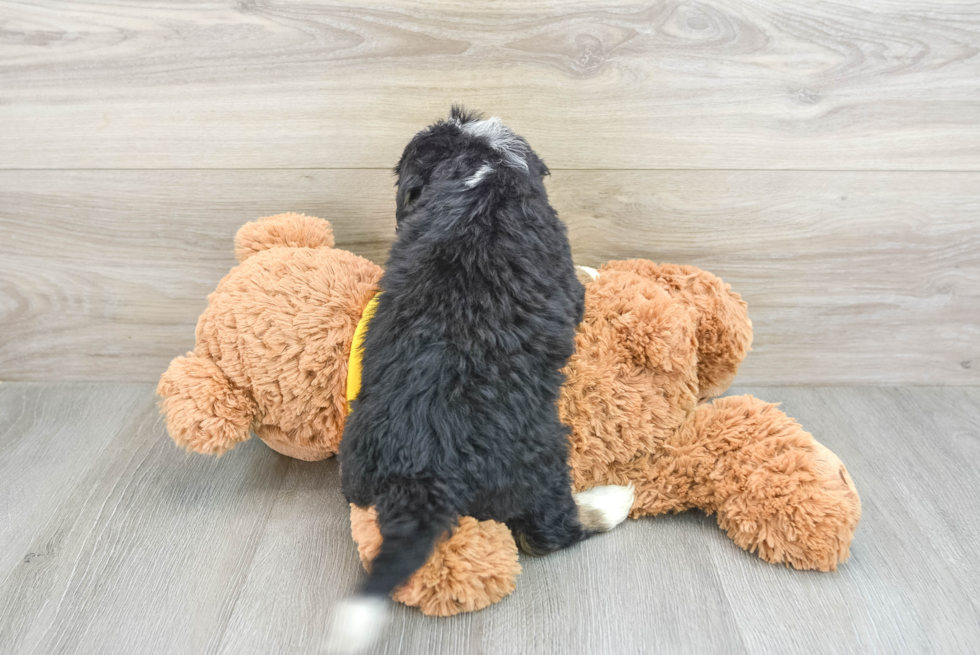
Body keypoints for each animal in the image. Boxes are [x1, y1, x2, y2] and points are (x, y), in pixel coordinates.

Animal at [328, 107, 636, 652]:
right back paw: (610, 501)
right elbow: (580, 286)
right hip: (542, 460)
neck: (480, 164)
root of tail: (420, 478)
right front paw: (594, 271)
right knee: (550, 532)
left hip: (357, 465)